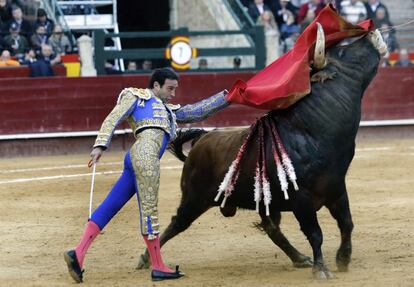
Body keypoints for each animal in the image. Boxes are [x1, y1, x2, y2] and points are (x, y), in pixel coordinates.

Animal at [138, 33, 382, 280]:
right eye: (342, 52)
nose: (370, 34)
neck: (310, 132)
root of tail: (201, 141)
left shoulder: (336, 189)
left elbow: (347, 223)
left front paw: (343, 258)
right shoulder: (302, 199)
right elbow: (316, 233)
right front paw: (321, 269)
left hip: (263, 200)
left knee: (272, 228)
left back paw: (298, 258)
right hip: (195, 198)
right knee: (177, 223)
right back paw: (147, 259)